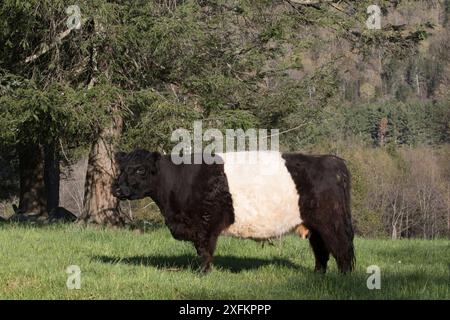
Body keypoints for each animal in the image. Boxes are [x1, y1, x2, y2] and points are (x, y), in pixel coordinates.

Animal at [112, 149, 356, 272]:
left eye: (140, 169)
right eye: (121, 168)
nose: (116, 188)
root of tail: (333, 160)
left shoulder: (205, 225)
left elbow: (204, 252)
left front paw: (201, 274)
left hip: (331, 222)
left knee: (341, 251)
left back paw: (342, 279)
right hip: (314, 226)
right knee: (321, 252)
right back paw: (318, 276)